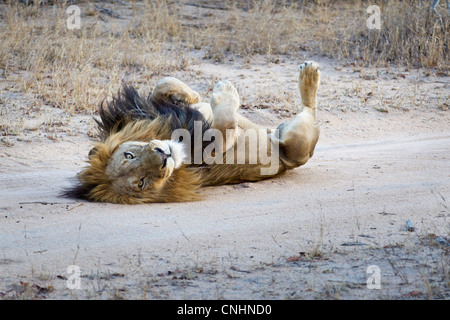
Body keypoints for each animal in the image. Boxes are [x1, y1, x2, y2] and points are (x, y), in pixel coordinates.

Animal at [63, 61, 322, 204]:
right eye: (141, 182)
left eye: (129, 155)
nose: (163, 156)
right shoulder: (211, 152)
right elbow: (225, 128)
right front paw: (225, 92)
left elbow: (164, 83)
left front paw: (190, 96)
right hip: (298, 141)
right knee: (309, 111)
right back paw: (309, 77)